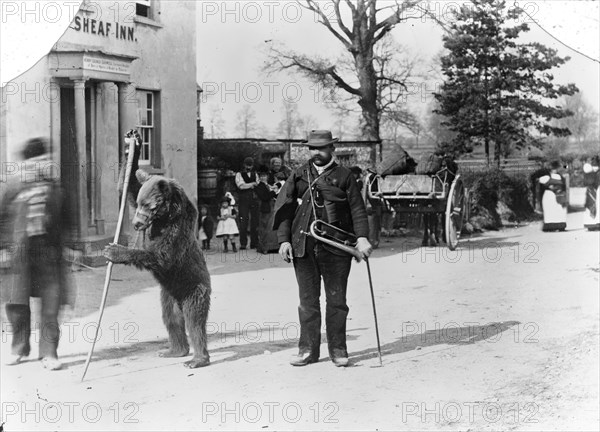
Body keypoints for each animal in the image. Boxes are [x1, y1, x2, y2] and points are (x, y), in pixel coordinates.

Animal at [104, 170, 212, 368]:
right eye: (139, 203)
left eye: (147, 205)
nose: (136, 223)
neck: (165, 217)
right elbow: (129, 188)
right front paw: (131, 165)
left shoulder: (176, 229)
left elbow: (160, 256)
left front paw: (113, 251)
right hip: (168, 295)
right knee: (171, 319)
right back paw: (175, 350)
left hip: (195, 288)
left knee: (195, 322)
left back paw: (197, 360)